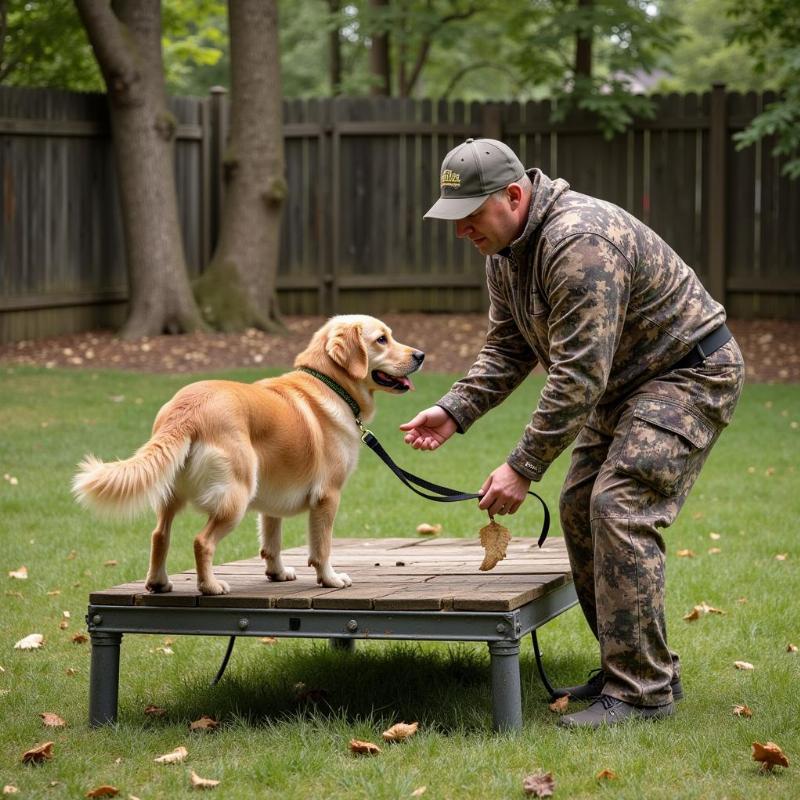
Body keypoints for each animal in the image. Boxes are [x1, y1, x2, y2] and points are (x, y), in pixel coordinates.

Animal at [73, 316, 424, 596]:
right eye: (382, 339)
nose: (421, 355)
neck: (328, 384)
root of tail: (186, 410)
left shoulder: (273, 498)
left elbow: (272, 542)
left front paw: (277, 574)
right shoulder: (328, 496)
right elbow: (321, 547)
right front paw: (330, 579)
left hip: (173, 495)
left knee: (160, 535)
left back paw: (159, 583)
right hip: (235, 497)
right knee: (202, 542)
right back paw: (210, 586)